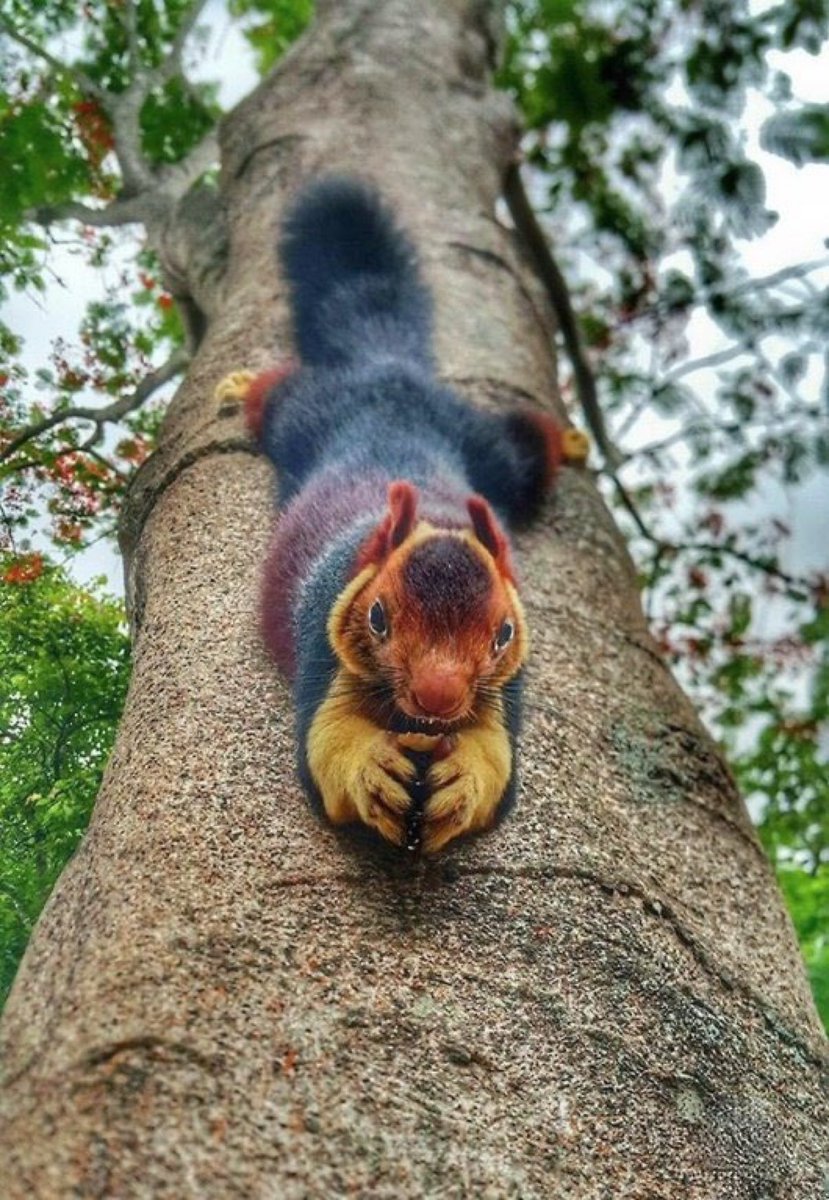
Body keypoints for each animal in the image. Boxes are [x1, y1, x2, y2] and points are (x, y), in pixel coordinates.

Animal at [231, 177, 571, 854]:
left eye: (504, 633)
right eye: (378, 617)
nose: (437, 696)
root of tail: (390, 372)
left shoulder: (508, 687)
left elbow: (497, 758)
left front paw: (464, 779)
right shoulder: (323, 634)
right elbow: (325, 742)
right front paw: (370, 771)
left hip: (489, 448)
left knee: (526, 446)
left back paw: (570, 441)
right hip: (309, 412)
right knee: (280, 395)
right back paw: (244, 385)